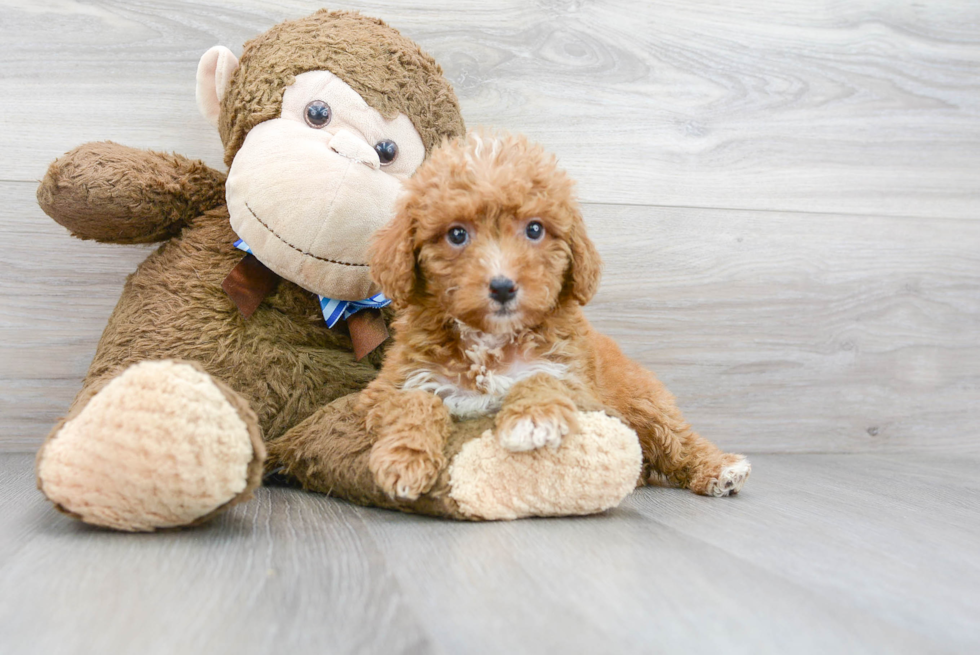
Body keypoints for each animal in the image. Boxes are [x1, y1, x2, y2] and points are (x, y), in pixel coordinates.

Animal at [360, 129, 752, 502]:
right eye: (457, 234)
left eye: (534, 229)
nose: (502, 287)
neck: (491, 339)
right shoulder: (390, 385)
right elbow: (413, 400)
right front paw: (404, 459)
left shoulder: (579, 384)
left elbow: (544, 377)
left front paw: (533, 419)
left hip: (644, 402)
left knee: (677, 439)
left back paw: (720, 468)